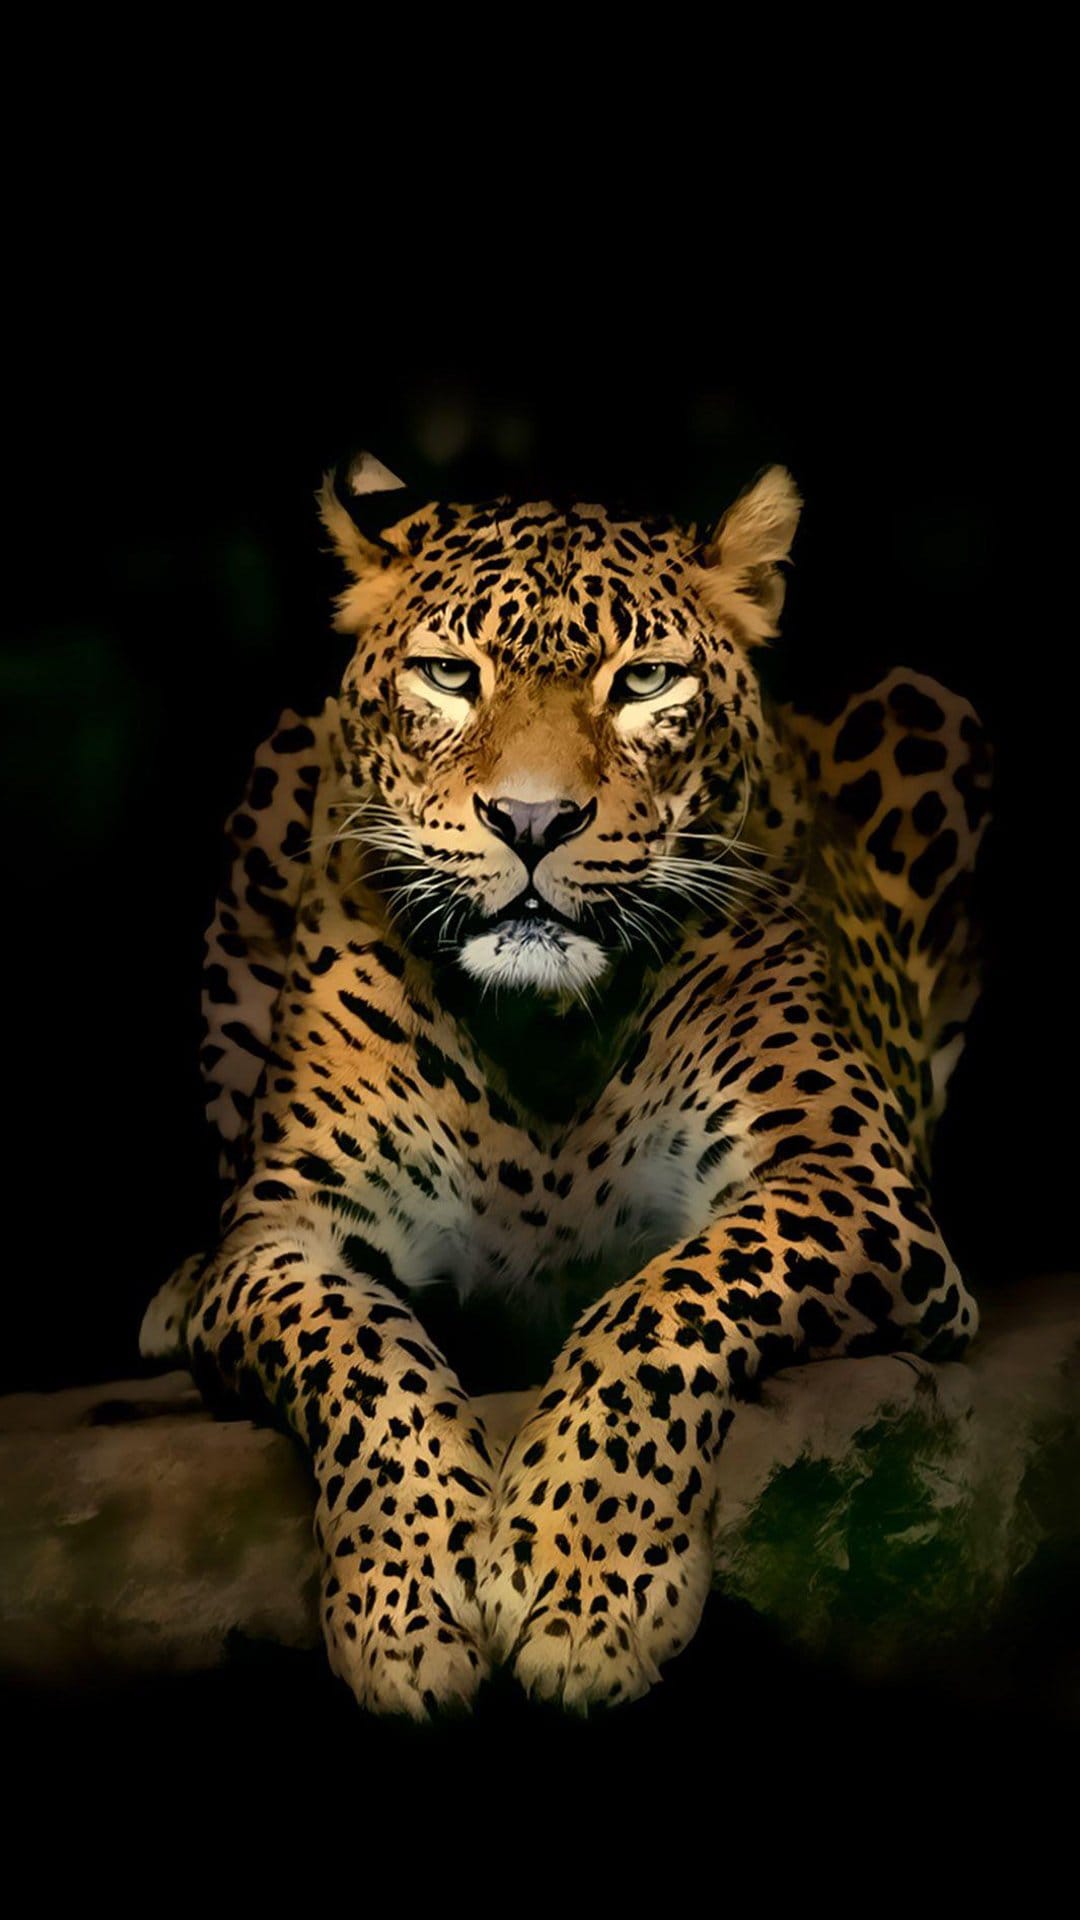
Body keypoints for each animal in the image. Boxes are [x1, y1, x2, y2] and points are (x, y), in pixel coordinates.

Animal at [141, 454, 992, 1718]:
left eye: (644, 681)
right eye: (452, 676)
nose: (533, 821)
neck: (539, 1033)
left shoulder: (847, 1178)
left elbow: (662, 1305)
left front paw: (584, 1590)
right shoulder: (288, 1233)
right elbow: (361, 1355)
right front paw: (410, 1605)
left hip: (932, 710)